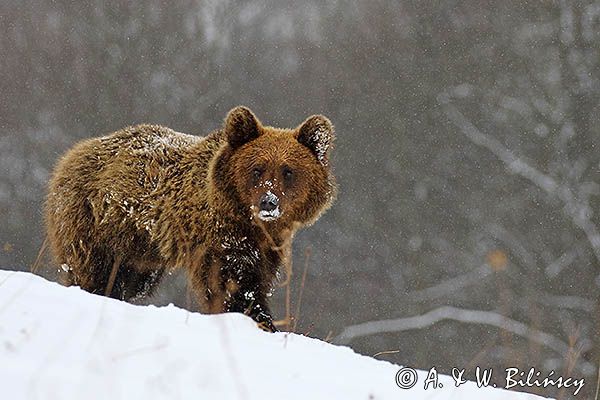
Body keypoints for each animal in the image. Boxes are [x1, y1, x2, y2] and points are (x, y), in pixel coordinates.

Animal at [45, 106, 338, 332]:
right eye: (257, 169)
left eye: (288, 171)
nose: (269, 202)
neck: (249, 221)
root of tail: (73, 153)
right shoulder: (219, 238)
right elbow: (231, 284)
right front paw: (257, 318)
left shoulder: (268, 246)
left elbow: (257, 280)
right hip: (93, 222)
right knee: (95, 273)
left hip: (139, 251)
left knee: (131, 281)